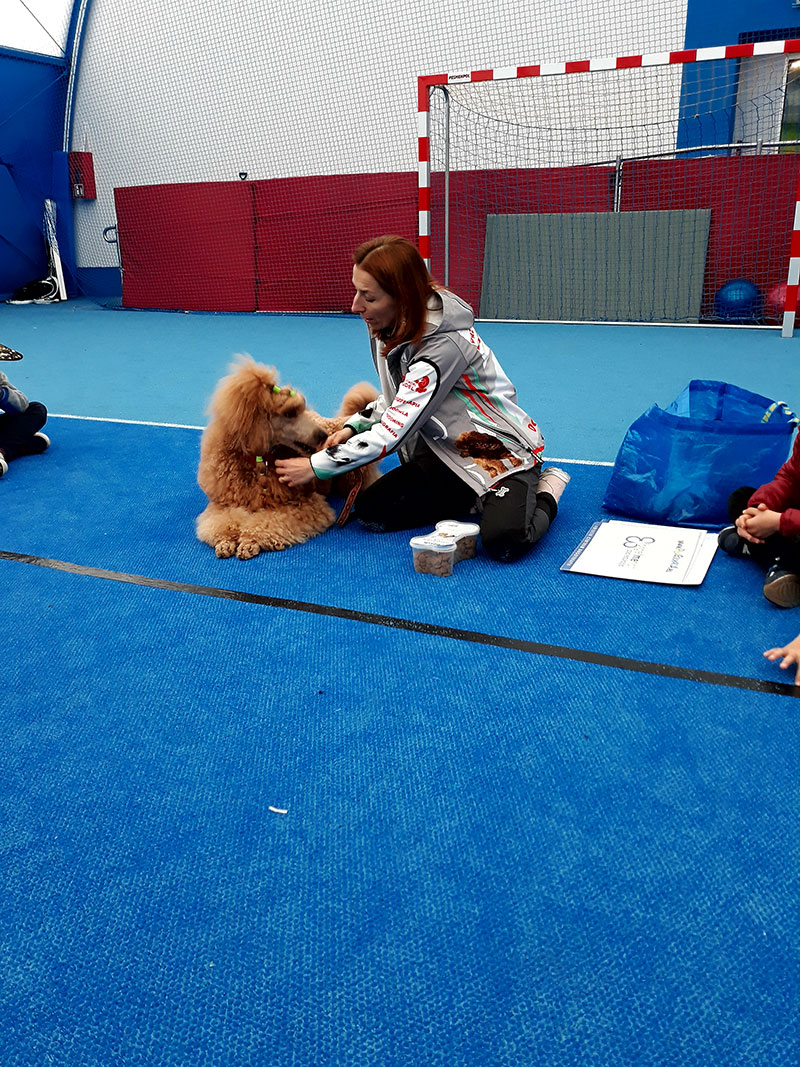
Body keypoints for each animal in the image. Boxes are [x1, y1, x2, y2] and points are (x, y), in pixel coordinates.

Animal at [196, 356, 378, 557]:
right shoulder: (221, 505)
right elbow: (221, 521)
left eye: (302, 409)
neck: (259, 462)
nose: (323, 436)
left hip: (351, 481)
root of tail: (336, 422)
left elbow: (268, 522)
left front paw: (249, 540)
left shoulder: (307, 505)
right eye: (289, 413)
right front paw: (226, 540)